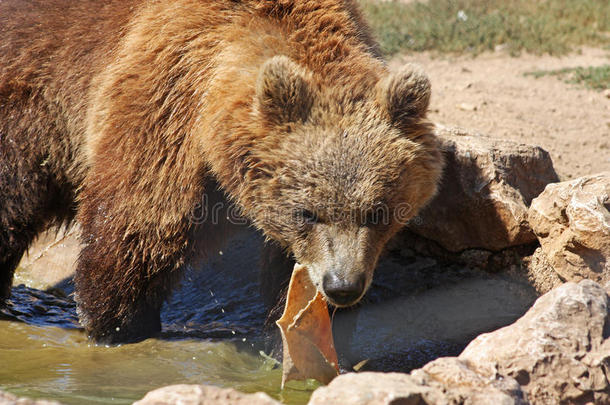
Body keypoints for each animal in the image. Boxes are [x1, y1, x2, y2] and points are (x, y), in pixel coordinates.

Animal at [1, 0, 442, 342]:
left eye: (378, 212)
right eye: (307, 212)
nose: (343, 287)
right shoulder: (166, 99)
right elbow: (137, 223)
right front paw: (117, 323)